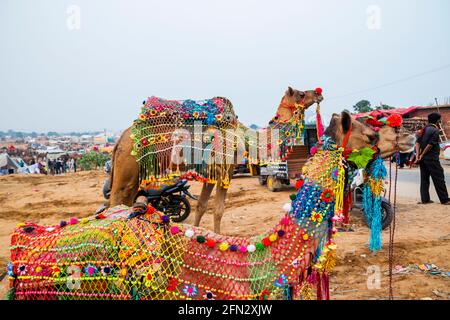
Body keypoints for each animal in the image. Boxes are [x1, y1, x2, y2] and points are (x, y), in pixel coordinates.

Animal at [6, 110, 414, 300]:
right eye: (371, 133)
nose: (408, 135)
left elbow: (204, 210)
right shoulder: (222, 173)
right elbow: (214, 209)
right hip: (126, 177)